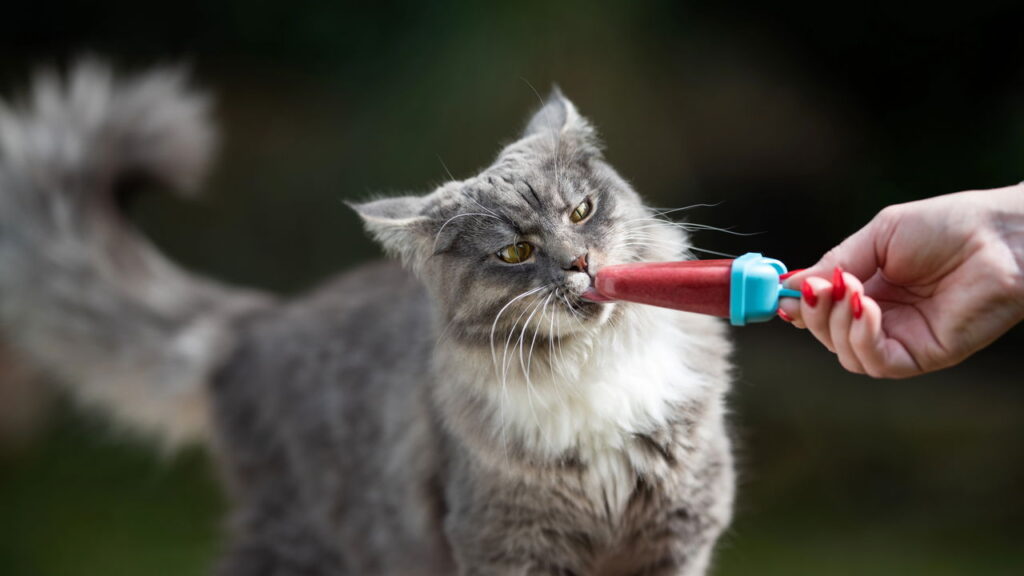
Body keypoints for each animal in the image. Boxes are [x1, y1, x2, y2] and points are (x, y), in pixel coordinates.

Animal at [0, 60, 737, 569]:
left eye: (581, 211)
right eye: (515, 252)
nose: (580, 263)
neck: (592, 370)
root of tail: (257, 323)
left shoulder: (678, 535)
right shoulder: (509, 544)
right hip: (300, 543)